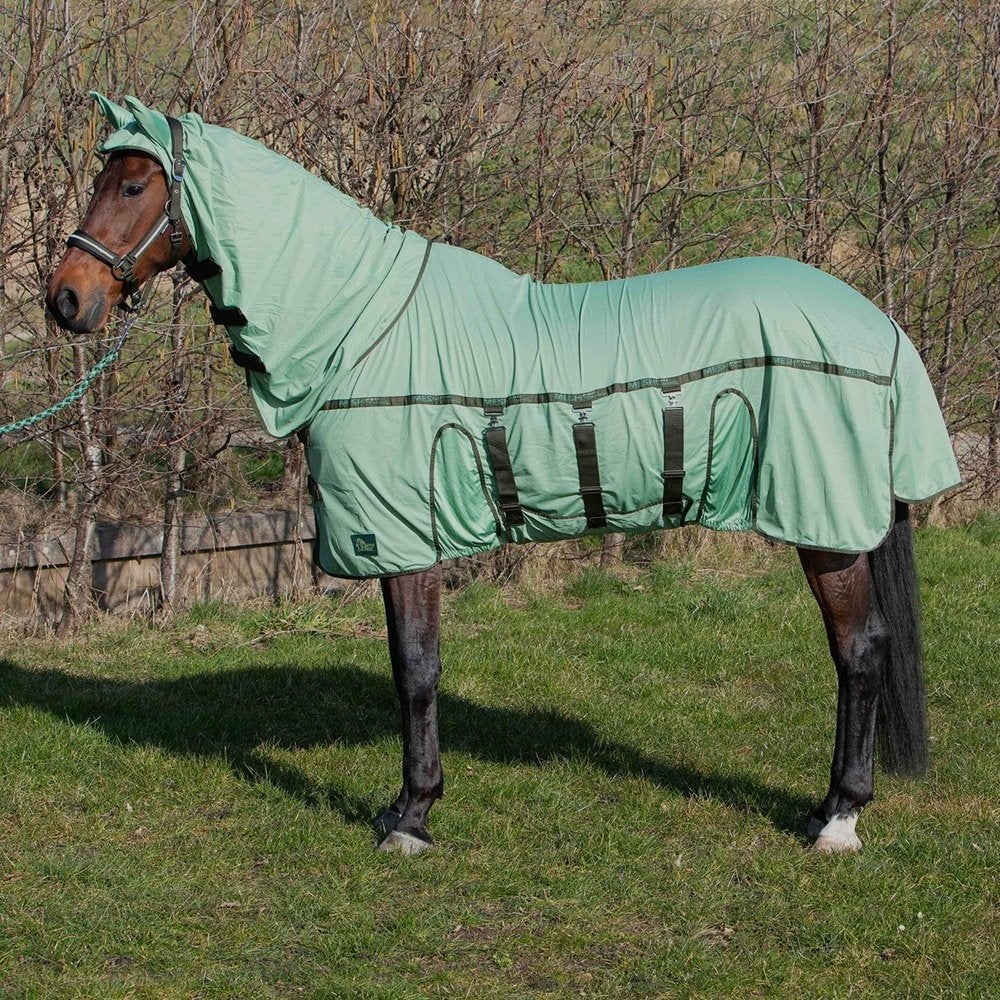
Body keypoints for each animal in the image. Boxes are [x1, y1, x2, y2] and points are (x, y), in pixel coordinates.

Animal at [45, 94, 959, 856]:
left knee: (861, 653)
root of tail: (879, 326)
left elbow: (415, 670)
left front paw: (412, 816)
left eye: (133, 183)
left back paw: (837, 817)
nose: (66, 299)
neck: (357, 323)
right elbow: (408, 666)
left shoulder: (404, 535)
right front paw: (403, 805)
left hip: (823, 524)